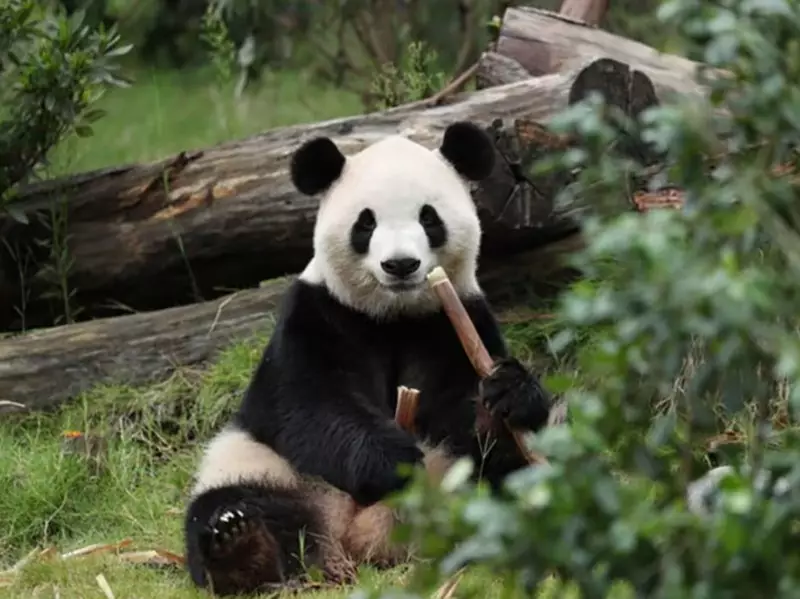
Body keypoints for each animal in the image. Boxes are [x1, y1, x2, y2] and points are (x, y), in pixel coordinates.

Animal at [183, 121, 554, 596]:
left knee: (508, 480)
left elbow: (464, 410)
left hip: (457, 481)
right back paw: (242, 546)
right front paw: (389, 460)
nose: (401, 265)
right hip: (261, 463)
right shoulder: (316, 315)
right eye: (366, 222)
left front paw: (507, 394)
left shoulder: (454, 320)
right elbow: (307, 404)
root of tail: (356, 538)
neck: (392, 316)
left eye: (429, 218)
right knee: (232, 503)